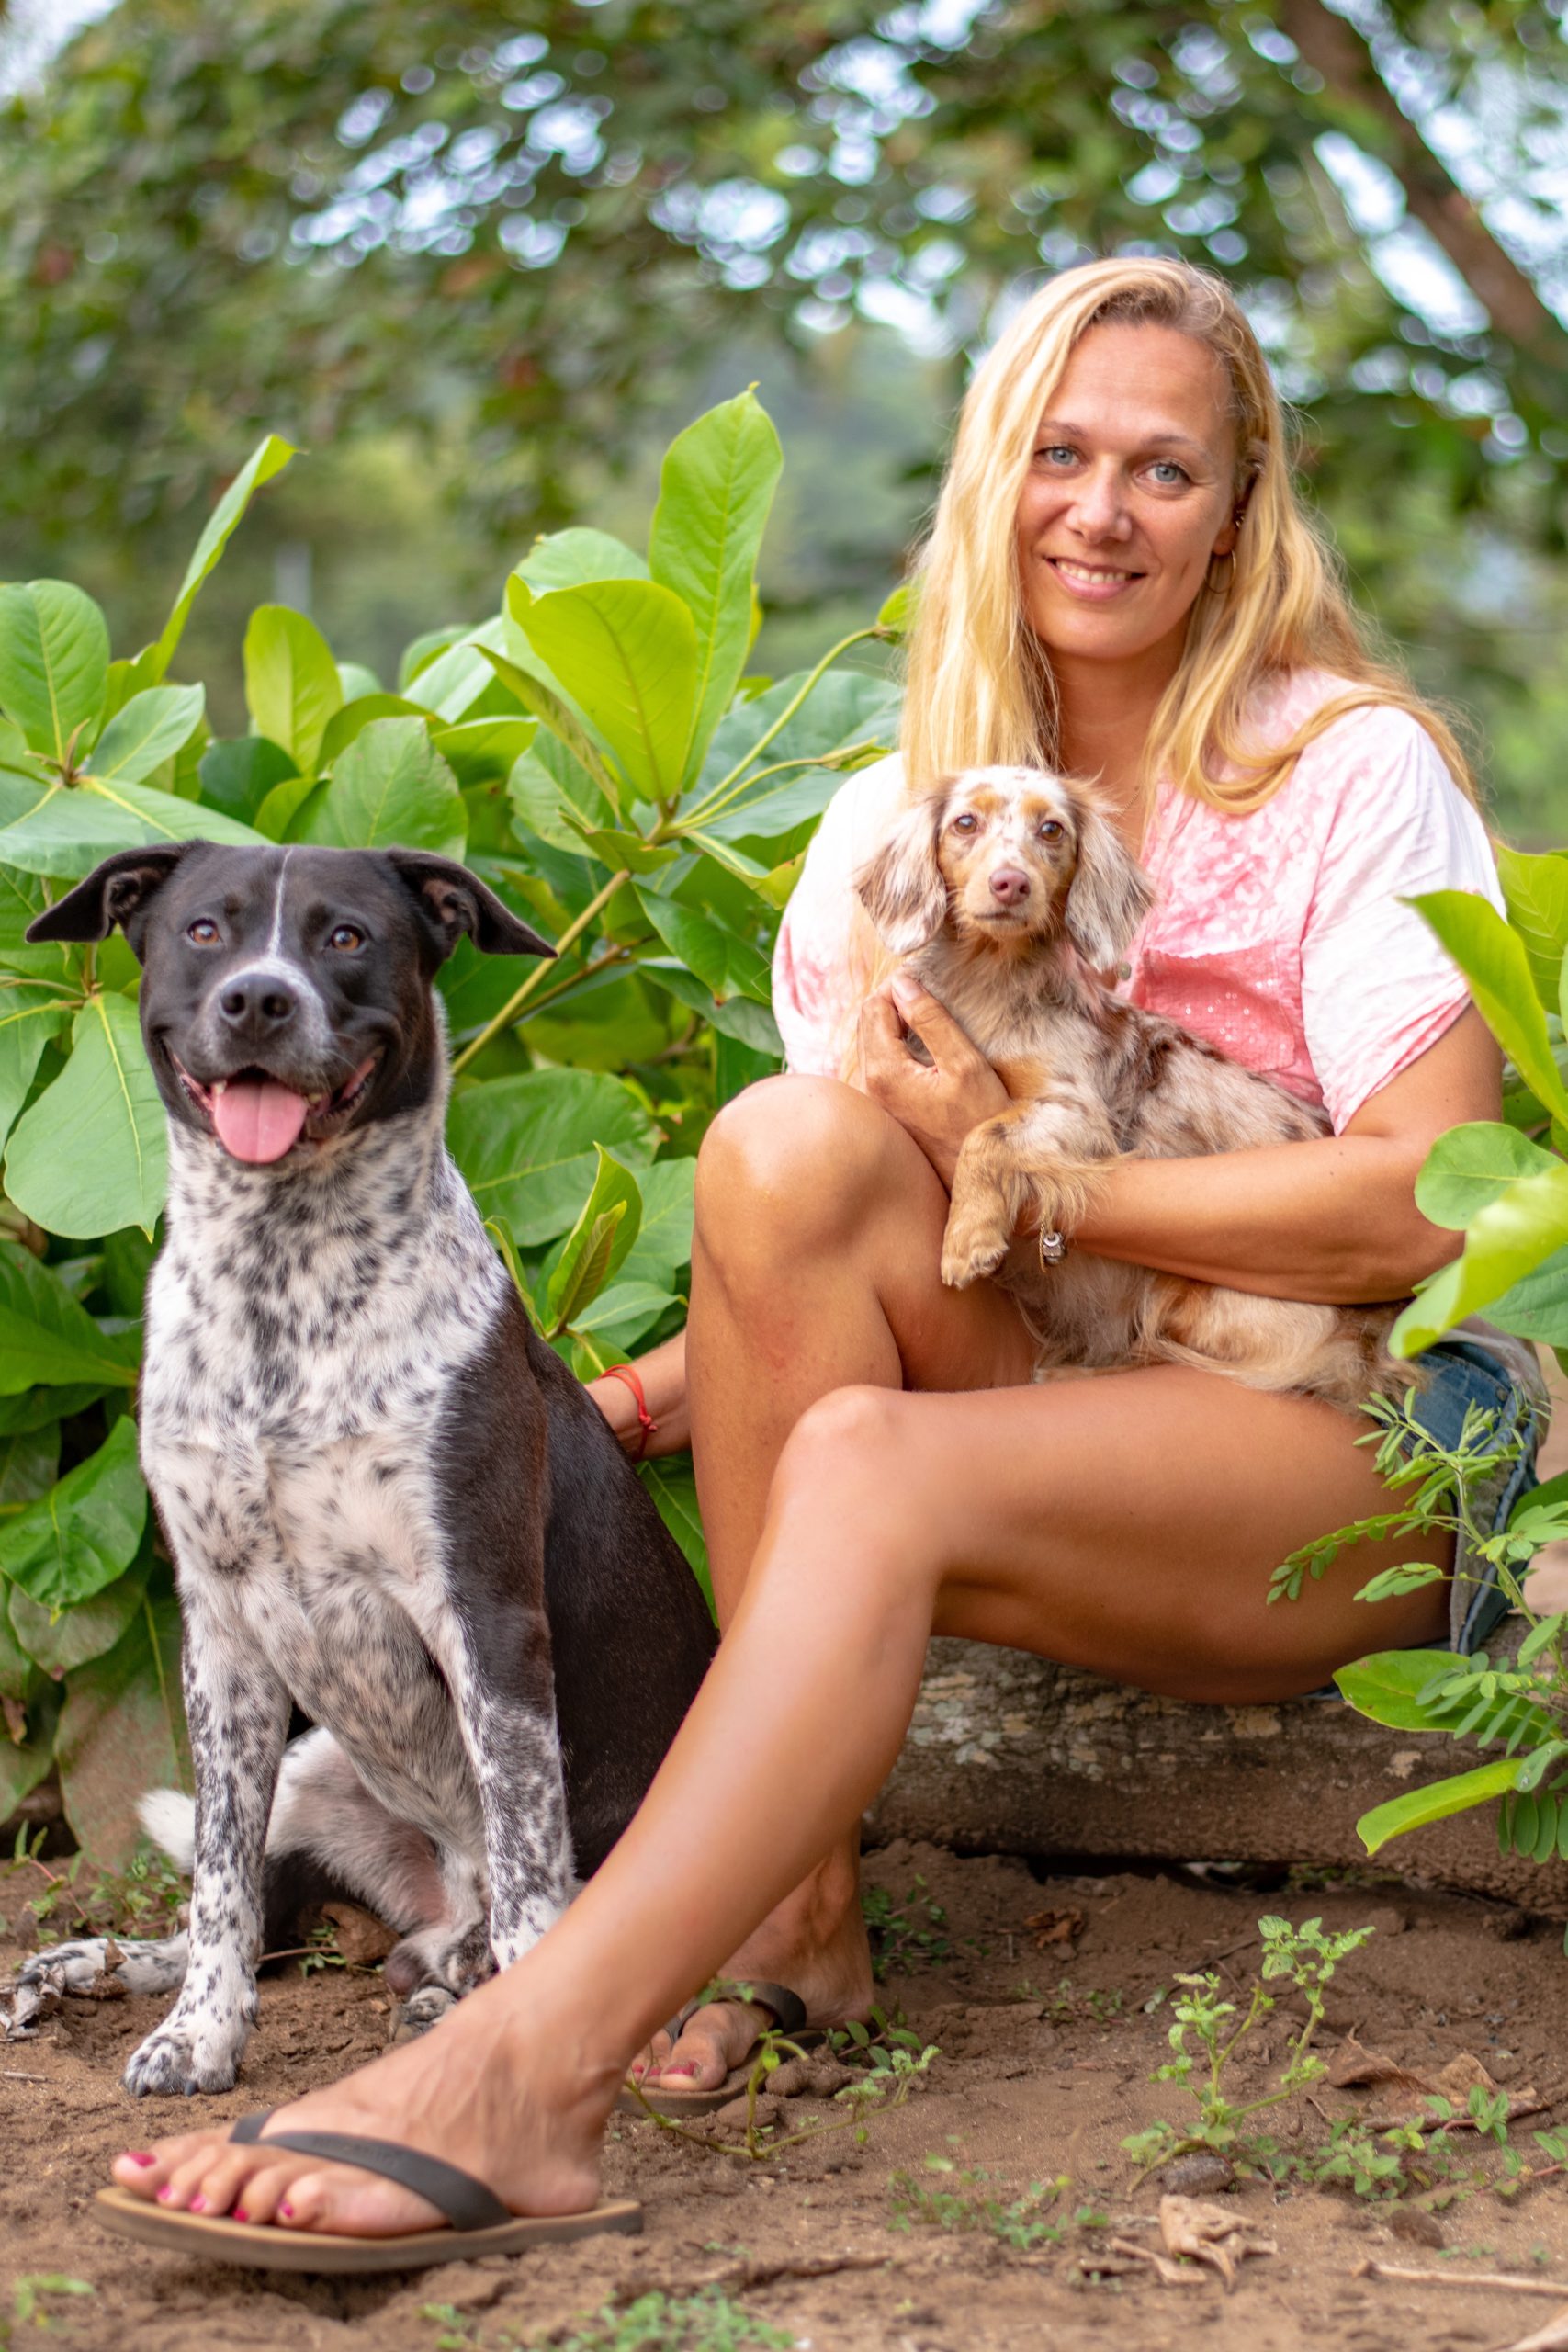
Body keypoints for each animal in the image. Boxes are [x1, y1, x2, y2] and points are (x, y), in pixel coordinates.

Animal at [10, 842, 709, 2098]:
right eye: (205, 929)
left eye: (346, 937)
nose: (258, 1000)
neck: (280, 1282)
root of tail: (434, 1906)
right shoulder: (221, 1633)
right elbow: (221, 1878)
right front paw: (199, 2034)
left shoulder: (485, 1615)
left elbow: (535, 1867)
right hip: (312, 1762)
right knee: (260, 1907)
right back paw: (109, 1963)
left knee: (508, 1912)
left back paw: (459, 1986)